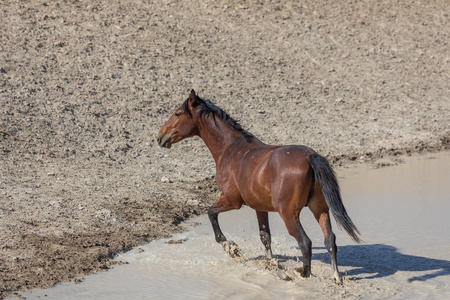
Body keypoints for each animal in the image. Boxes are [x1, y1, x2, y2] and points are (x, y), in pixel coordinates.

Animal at [158, 89, 362, 284]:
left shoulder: (231, 200)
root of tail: (310, 157)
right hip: (319, 209)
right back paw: (336, 278)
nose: (160, 137)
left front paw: (231, 248)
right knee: (330, 240)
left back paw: (304, 275)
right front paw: (271, 264)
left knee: (305, 242)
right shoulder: (260, 208)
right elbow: (265, 237)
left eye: (177, 114)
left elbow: (211, 213)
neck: (231, 150)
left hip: (289, 213)